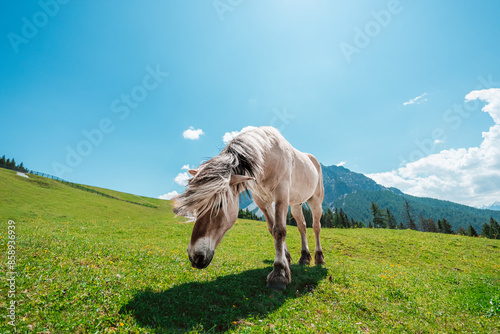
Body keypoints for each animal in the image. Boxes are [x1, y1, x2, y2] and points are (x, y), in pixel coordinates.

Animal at [175, 126, 324, 288]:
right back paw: (304, 258)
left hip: (315, 201)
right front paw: (286, 260)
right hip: (296, 204)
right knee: (302, 226)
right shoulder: (262, 202)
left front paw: (279, 274)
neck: (268, 157)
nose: (195, 256)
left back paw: (319, 258)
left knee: (316, 227)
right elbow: (273, 229)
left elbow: (279, 231)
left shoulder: (281, 196)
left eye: (219, 205)